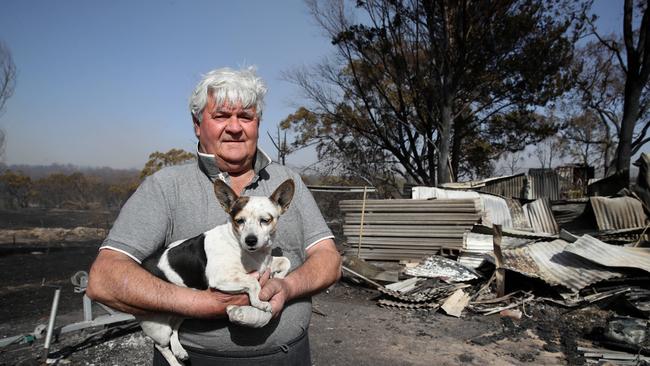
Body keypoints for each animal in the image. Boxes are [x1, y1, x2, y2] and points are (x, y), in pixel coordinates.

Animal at [138, 179, 292, 364]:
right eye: (239, 221)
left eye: (265, 220)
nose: (250, 240)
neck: (250, 253)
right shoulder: (221, 278)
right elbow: (253, 282)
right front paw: (259, 302)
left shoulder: (266, 264)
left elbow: (286, 262)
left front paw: (279, 278)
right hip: (158, 327)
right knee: (160, 345)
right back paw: (175, 362)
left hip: (182, 311)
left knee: (174, 328)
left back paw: (179, 351)